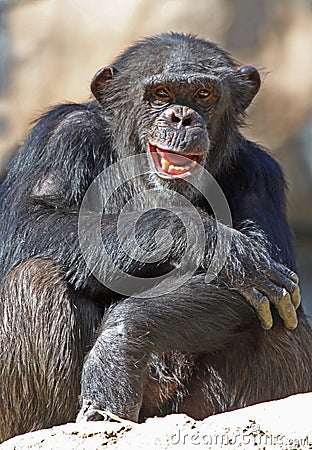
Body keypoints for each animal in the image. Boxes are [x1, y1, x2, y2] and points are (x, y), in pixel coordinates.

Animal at [0, 33, 312, 442]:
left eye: (202, 94)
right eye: (161, 94)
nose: (181, 117)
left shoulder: (260, 174)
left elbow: (276, 272)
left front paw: (117, 348)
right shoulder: (61, 135)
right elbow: (28, 222)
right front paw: (216, 245)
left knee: (278, 316)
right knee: (33, 279)